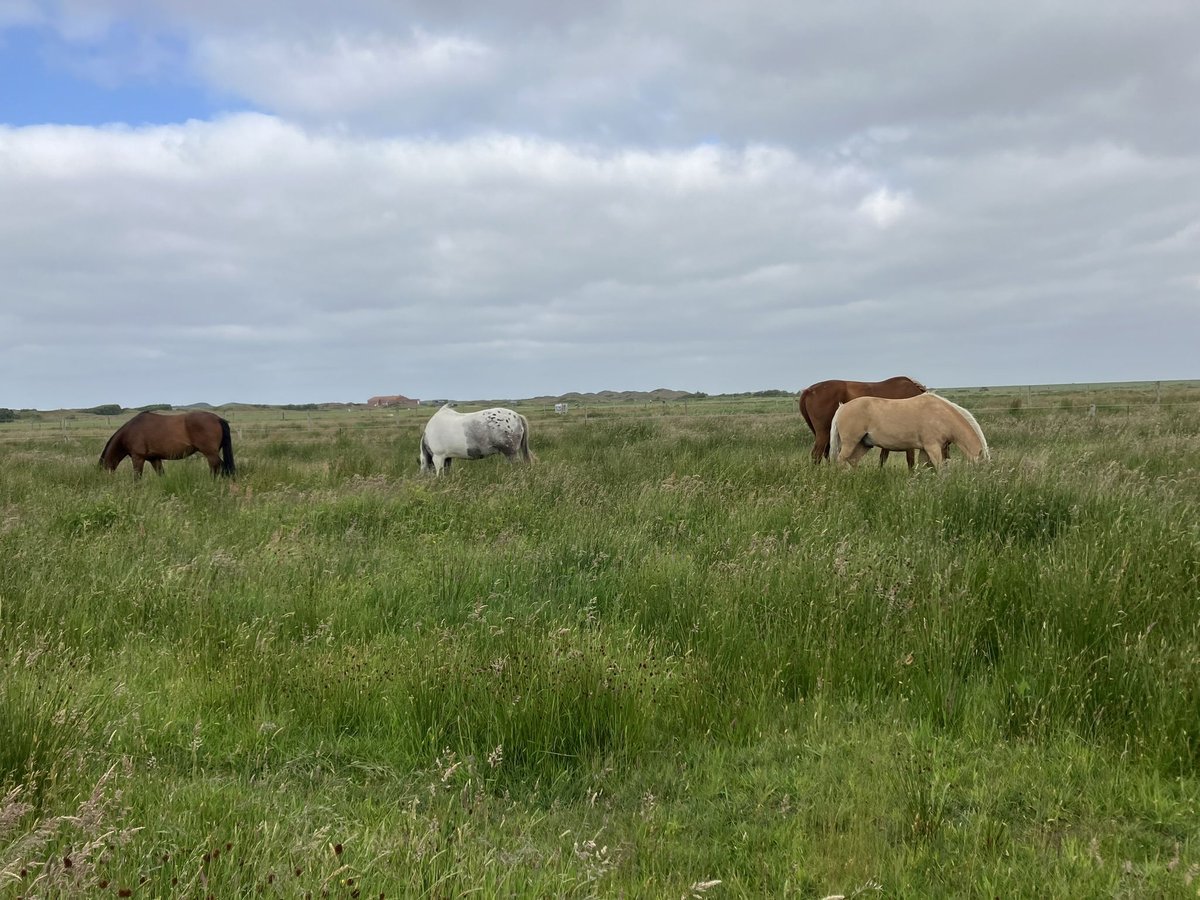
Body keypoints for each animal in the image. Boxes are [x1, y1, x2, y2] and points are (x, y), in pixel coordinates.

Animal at [99, 410, 235, 480]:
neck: (130, 431)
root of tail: (218, 419)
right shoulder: (154, 459)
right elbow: (161, 475)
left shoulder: (138, 458)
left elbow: (137, 478)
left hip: (210, 454)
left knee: (219, 468)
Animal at [830, 393, 988, 468]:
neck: (941, 414)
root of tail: (842, 407)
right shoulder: (933, 447)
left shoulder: (925, 449)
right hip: (850, 443)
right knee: (841, 460)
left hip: (864, 444)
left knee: (852, 461)